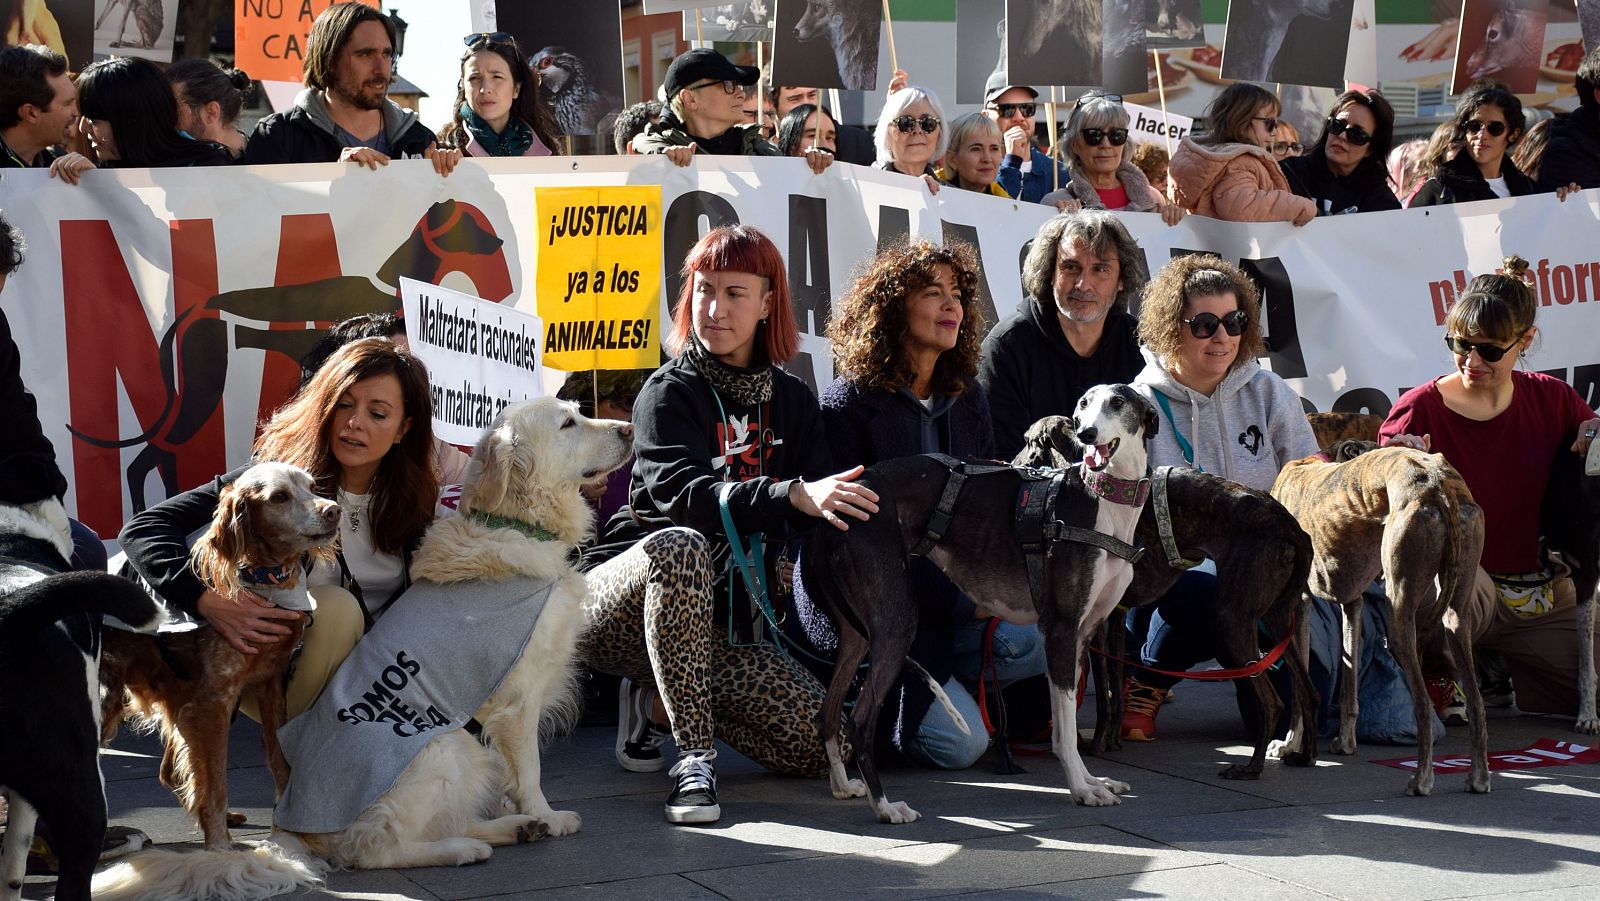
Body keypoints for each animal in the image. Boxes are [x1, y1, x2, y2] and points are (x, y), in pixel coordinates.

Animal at [92, 403, 630, 901]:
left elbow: (509, 777)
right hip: (444, 747)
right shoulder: (518, 697)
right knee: (373, 850)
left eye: (580, 413)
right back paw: (469, 847)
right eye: (568, 423)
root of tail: (291, 828)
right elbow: (530, 769)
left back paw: (509, 829)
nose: (628, 429)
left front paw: (520, 813)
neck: (513, 524)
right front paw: (547, 815)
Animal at [806, 384, 1158, 819]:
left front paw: (1094, 781)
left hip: (858, 631)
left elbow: (1066, 725)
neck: (1100, 501)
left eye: (1118, 402)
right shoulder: (1059, 629)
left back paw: (843, 787)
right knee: (859, 720)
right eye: (1083, 404)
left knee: (828, 712)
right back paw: (887, 807)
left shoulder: (1082, 634)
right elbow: (1065, 731)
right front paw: (1081, 788)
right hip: (896, 621)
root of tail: (830, 511)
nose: (1086, 433)